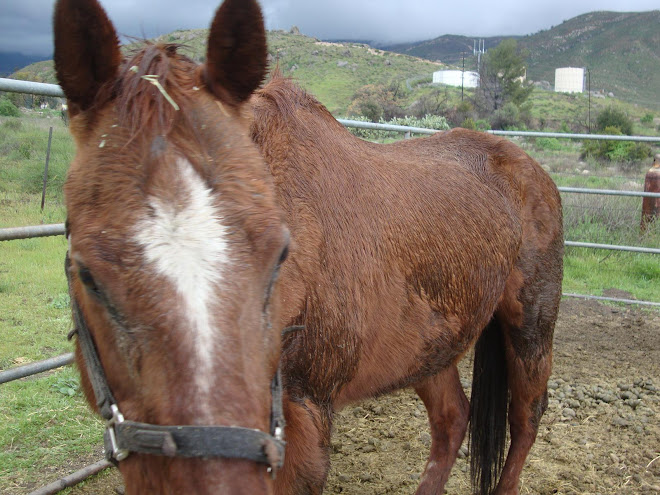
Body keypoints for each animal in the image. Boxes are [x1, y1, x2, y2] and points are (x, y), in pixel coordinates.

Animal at [249, 76, 563, 494]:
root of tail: (531, 168)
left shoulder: (305, 410)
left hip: (530, 328)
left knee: (527, 416)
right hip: (431, 347)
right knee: (453, 417)